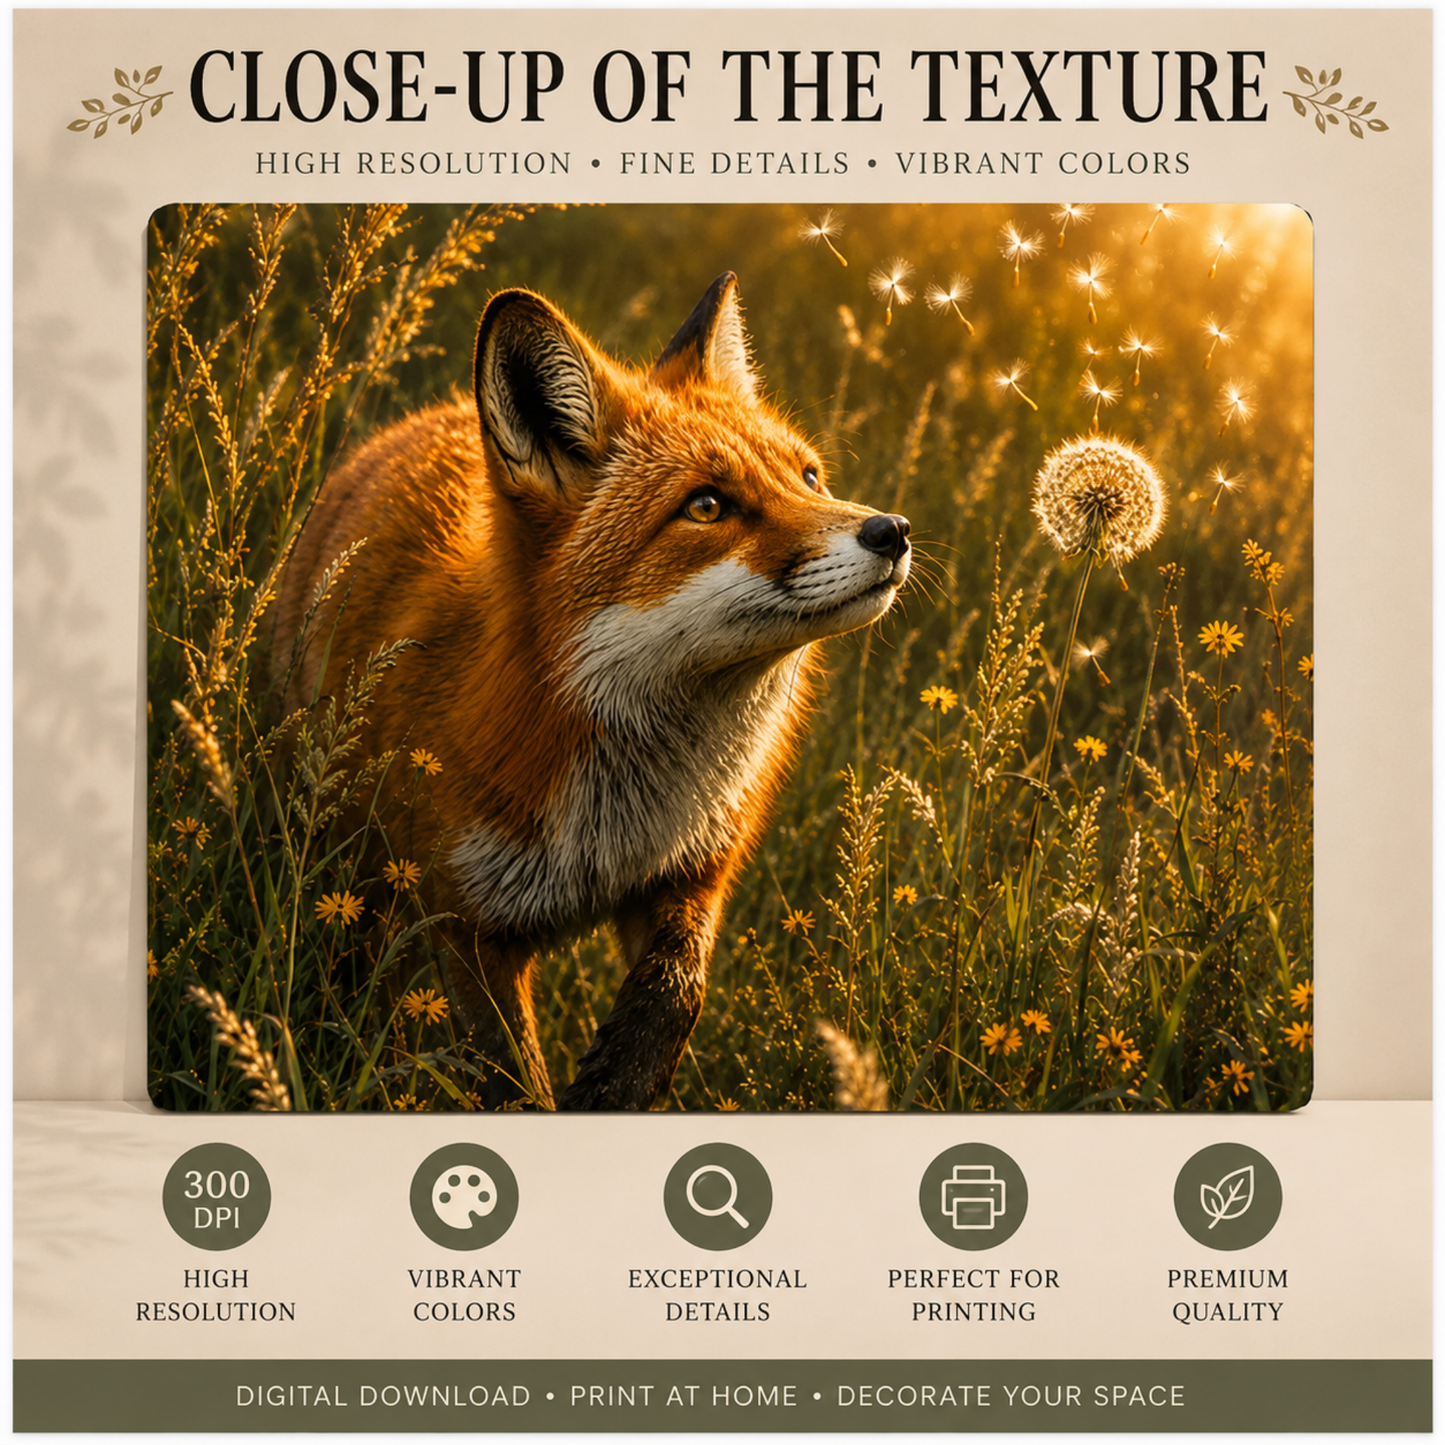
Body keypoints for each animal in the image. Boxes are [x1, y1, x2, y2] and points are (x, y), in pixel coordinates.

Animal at [273, 272, 911, 1111]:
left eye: (809, 477)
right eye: (707, 505)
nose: (892, 530)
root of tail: (423, 418)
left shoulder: (689, 873)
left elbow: (675, 993)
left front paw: (618, 1085)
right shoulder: (462, 921)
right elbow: (510, 1076)